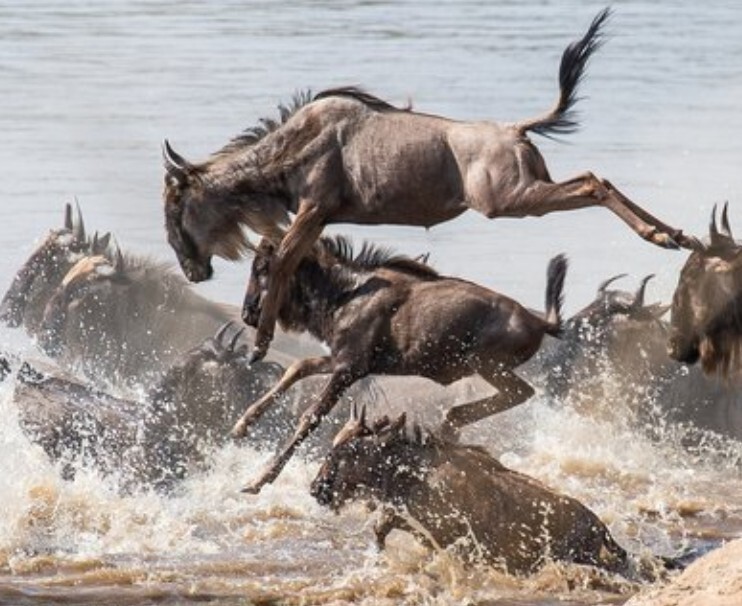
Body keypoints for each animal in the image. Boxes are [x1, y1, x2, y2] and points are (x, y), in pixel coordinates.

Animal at [161, 8, 694, 363]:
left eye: (173, 207)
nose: (191, 271)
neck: (288, 147)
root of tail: (516, 129)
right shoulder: (317, 217)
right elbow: (286, 259)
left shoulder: (314, 209)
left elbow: (282, 261)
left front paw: (260, 342)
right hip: (525, 192)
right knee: (596, 177)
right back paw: (676, 236)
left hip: (512, 200)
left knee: (591, 183)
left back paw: (662, 236)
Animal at [232, 234, 567, 493]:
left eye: (261, 267)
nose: (248, 314)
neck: (345, 295)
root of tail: (539, 322)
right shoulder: (344, 361)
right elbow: (297, 367)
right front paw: (241, 425)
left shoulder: (348, 369)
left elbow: (310, 416)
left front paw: (259, 480)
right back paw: (450, 426)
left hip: (484, 363)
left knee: (522, 392)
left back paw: (450, 422)